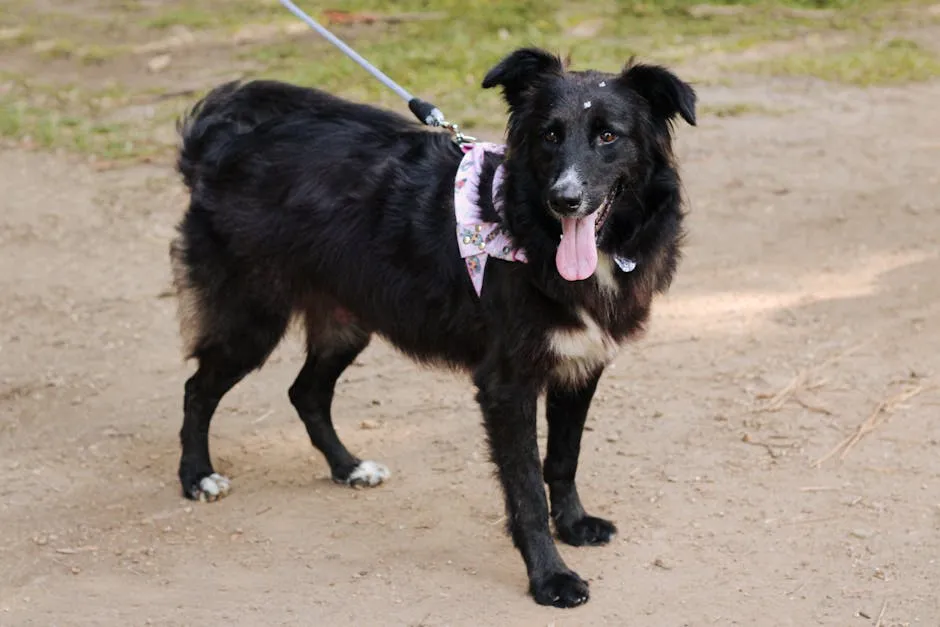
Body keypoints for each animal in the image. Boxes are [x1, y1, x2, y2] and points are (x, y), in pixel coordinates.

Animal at [171, 47, 696, 608]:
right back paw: (197, 477)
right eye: (550, 135)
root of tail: (219, 145)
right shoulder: (506, 385)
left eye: (609, 136)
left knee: (305, 392)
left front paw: (574, 526)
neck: (534, 231)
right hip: (251, 320)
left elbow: (563, 459)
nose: (565, 199)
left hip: (345, 324)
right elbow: (527, 489)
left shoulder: (580, 368)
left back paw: (348, 468)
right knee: (198, 389)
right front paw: (550, 577)